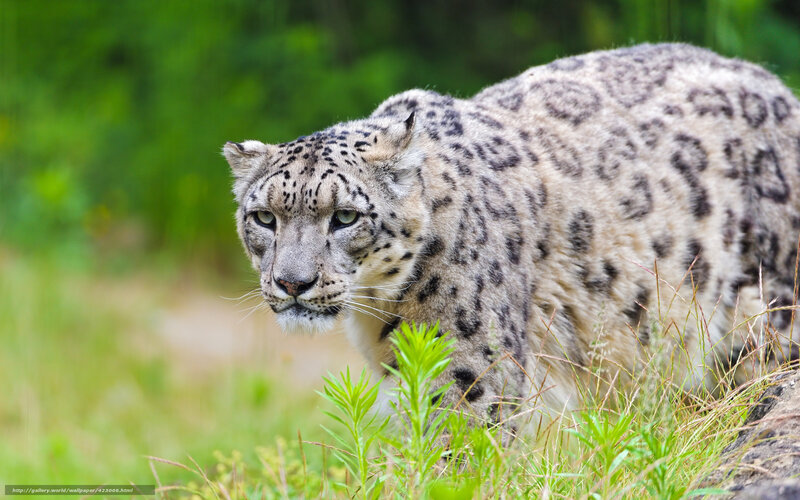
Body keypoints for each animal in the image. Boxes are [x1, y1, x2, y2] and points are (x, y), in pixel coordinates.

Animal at [223, 43, 800, 434]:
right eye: (265, 218)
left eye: (344, 216)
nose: (292, 283)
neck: (382, 315)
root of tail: (779, 89)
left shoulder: (470, 374)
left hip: (768, 311)